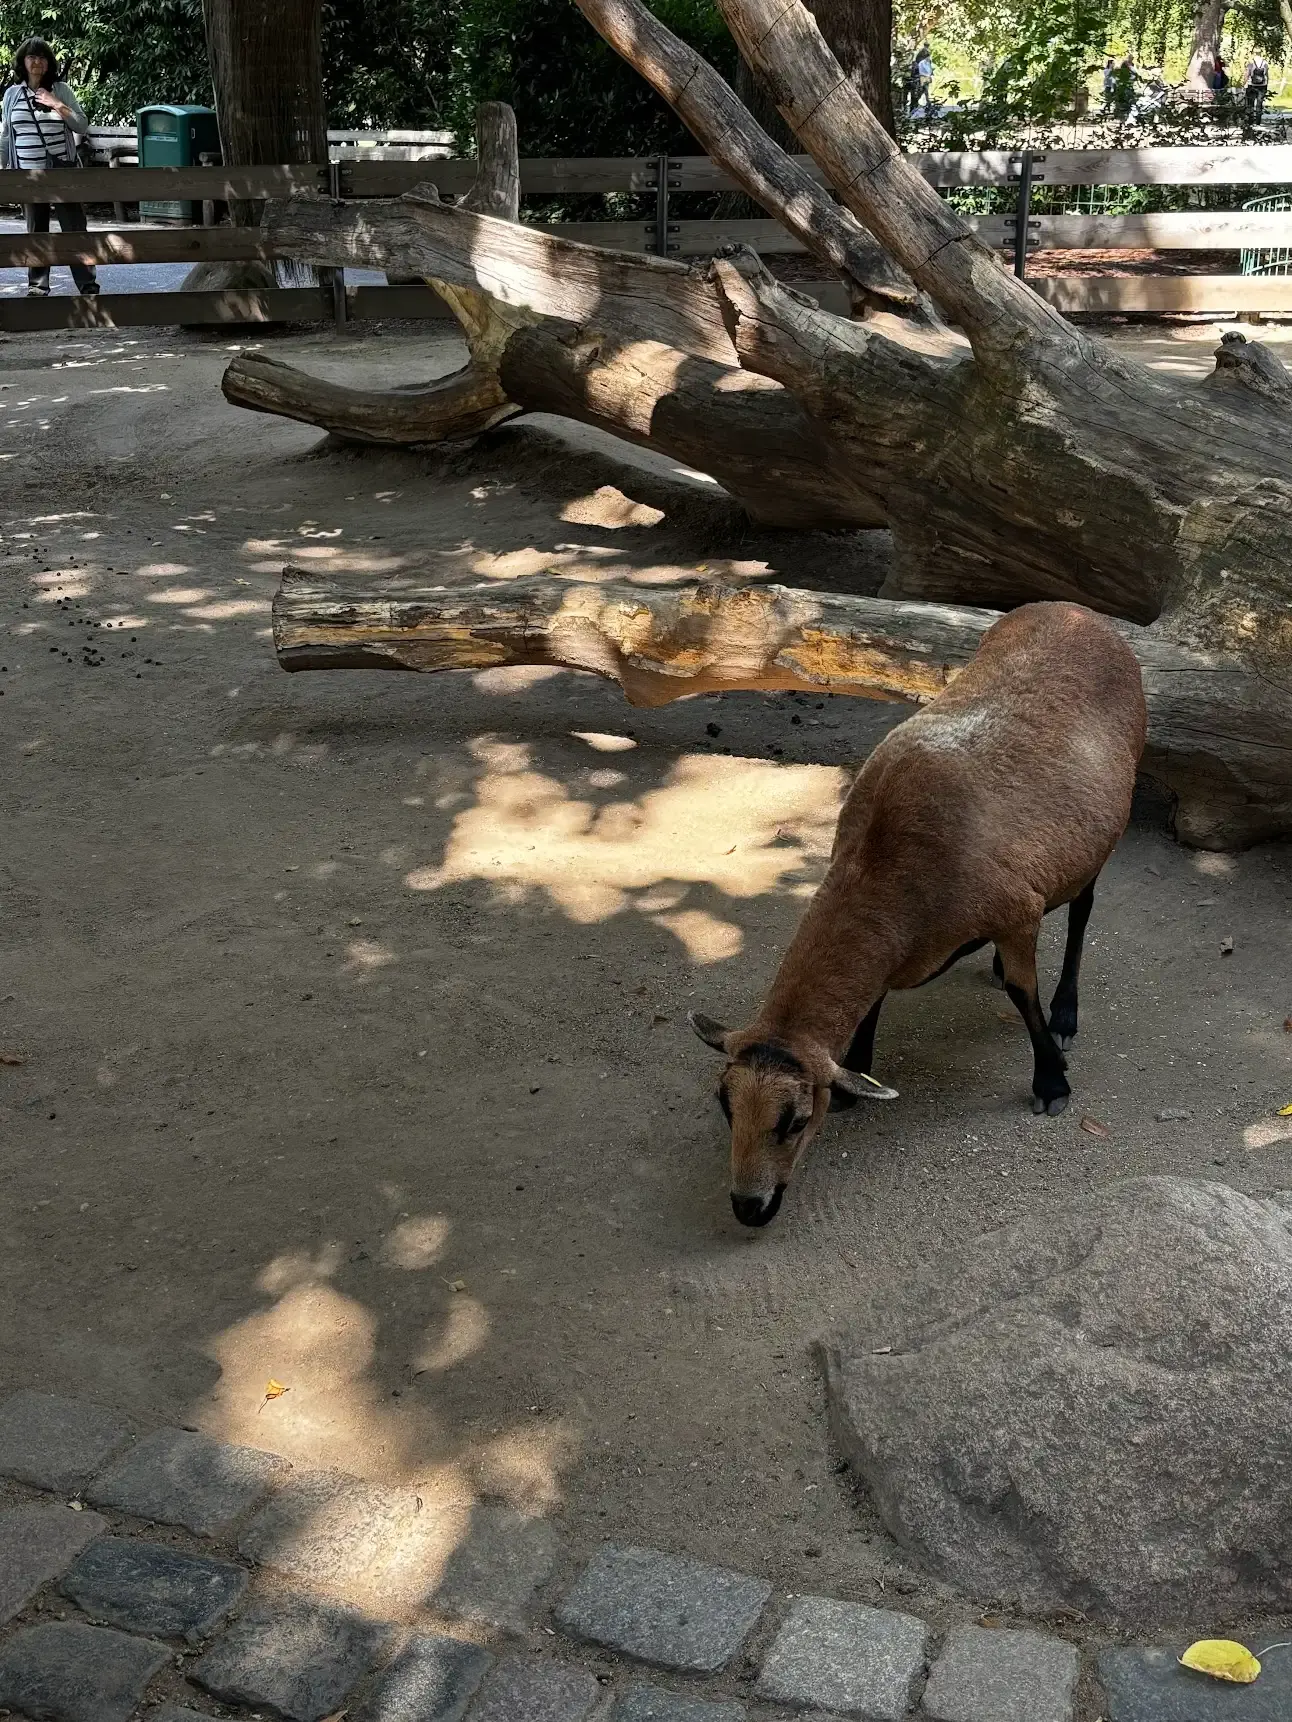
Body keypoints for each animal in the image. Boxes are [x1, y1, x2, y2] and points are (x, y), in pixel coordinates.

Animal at [689, 601, 1147, 1228]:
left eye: (796, 1121)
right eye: (725, 1106)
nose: (748, 1209)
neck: (886, 864)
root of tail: (1078, 610)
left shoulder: (1017, 912)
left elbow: (1024, 996)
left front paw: (1052, 1080)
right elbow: (874, 1000)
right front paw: (859, 1070)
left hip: (1099, 840)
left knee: (1081, 916)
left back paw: (1066, 1014)